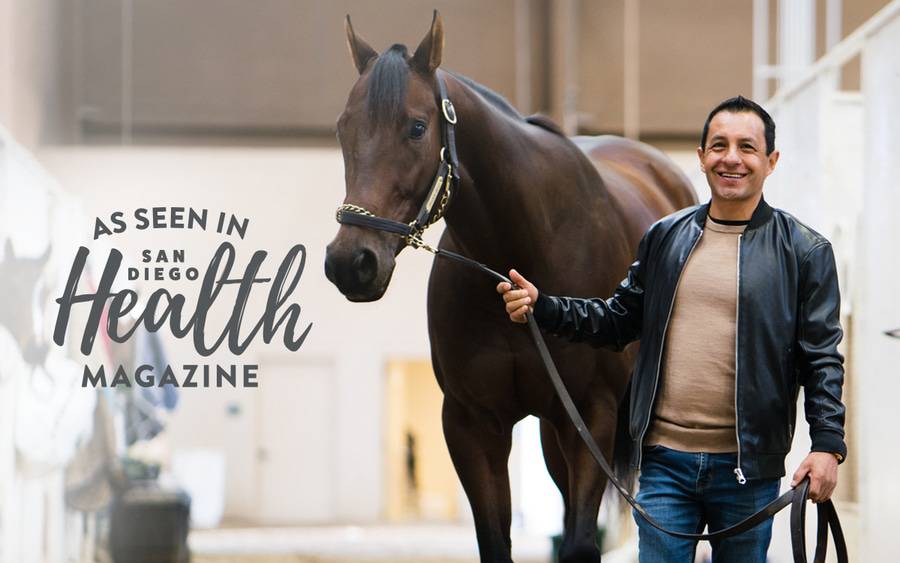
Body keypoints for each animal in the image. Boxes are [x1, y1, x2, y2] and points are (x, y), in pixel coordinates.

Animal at [326, 13, 700, 563]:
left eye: (417, 127)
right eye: (343, 128)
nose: (350, 262)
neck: (522, 249)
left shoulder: (592, 414)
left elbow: (580, 544)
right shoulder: (472, 423)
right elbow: (495, 541)